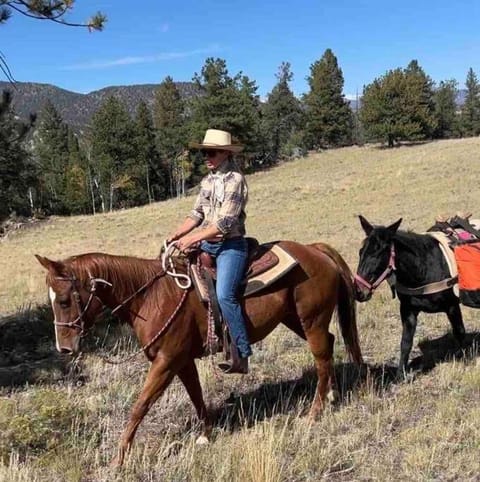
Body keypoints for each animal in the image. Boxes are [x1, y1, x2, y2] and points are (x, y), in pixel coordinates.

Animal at [35, 243, 362, 466]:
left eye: (64, 300)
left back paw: (314, 412)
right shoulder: (181, 361)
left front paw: (119, 458)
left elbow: (140, 406)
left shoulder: (166, 362)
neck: (151, 297)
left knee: (321, 357)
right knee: (329, 347)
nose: (64, 348)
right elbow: (196, 395)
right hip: (297, 320)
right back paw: (332, 395)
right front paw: (206, 434)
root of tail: (314, 250)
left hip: (311, 320)